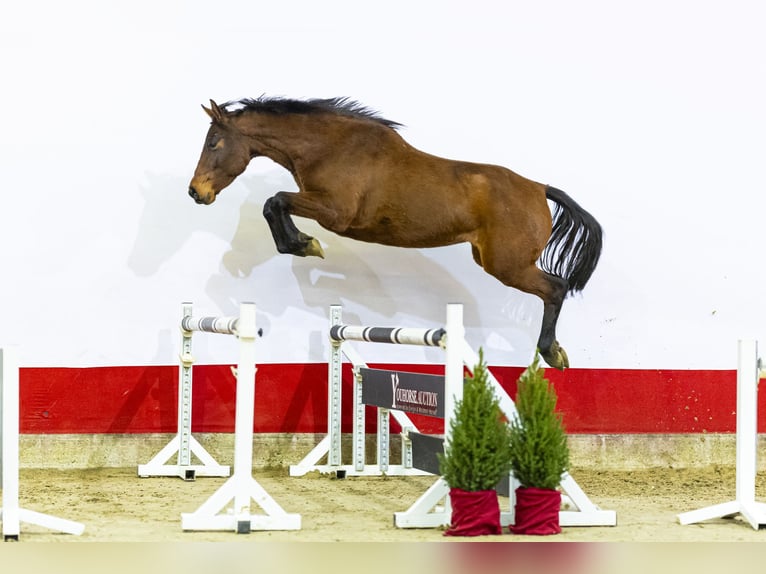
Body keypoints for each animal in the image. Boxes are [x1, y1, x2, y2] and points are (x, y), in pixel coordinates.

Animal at [188, 96, 602, 370]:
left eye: (213, 142)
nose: (196, 192)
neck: (329, 147)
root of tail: (538, 188)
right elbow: (275, 205)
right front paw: (304, 246)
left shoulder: (335, 213)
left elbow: (275, 201)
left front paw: (306, 245)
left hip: (508, 266)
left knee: (555, 289)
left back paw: (552, 352)